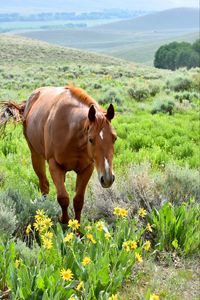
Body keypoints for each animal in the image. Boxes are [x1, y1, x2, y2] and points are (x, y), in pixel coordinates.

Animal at [1, 85, 116, 224]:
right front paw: (64, 221)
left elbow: (78, 200)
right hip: (36, 156)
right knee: (44, 186)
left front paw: (76, 227)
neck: (72, 132)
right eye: (91, 139)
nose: (108, 178)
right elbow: (63, 198)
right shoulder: (54, 165)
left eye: (114, 138)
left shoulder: (87, 168)